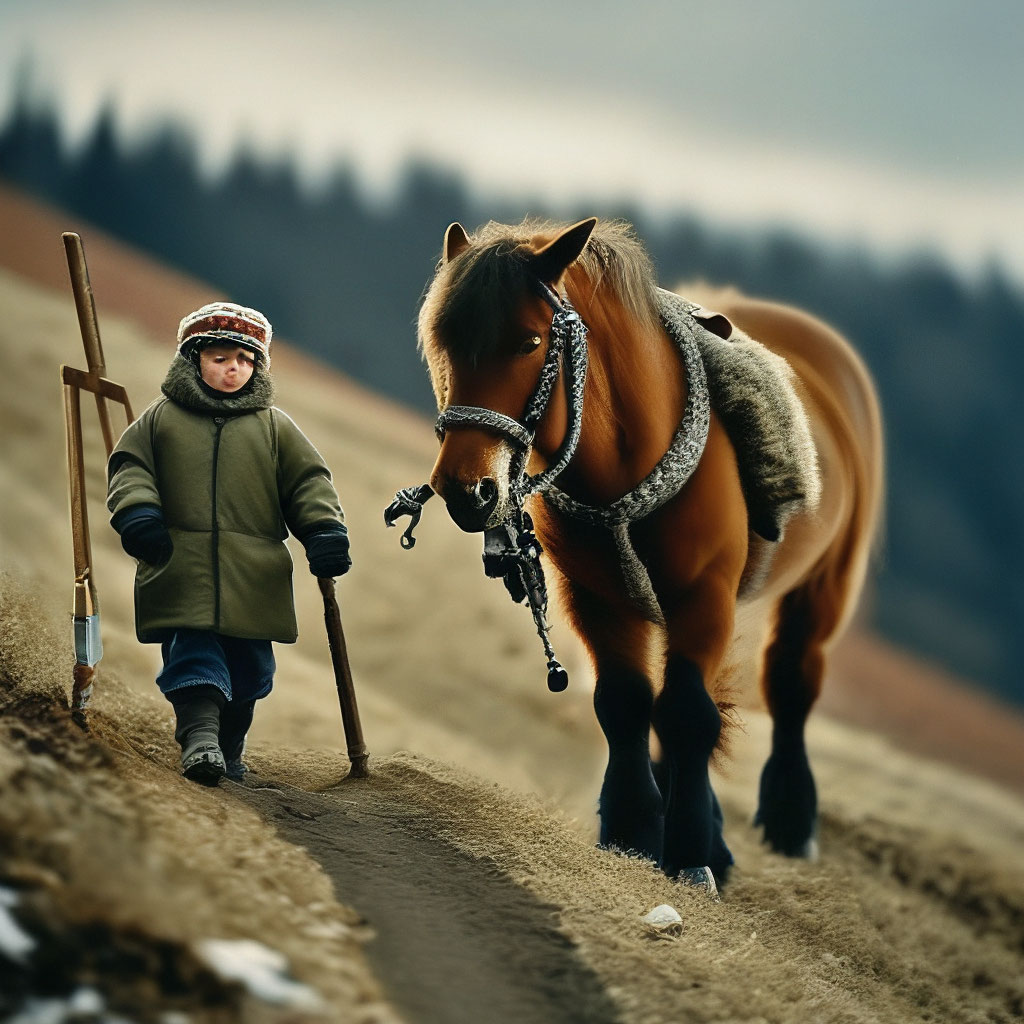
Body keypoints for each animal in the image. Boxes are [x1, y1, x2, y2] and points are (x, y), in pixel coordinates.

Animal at [419, 214, 884, 880]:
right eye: (441, 339)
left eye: (530, 342)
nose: (466, 490)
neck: (625, 466)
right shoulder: (593, 595)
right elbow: (626, 704)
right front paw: (636, 830)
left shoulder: (704, 594)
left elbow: (688, 713)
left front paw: (689, 853)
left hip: (827, 583)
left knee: (792, 680)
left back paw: (791, 820)